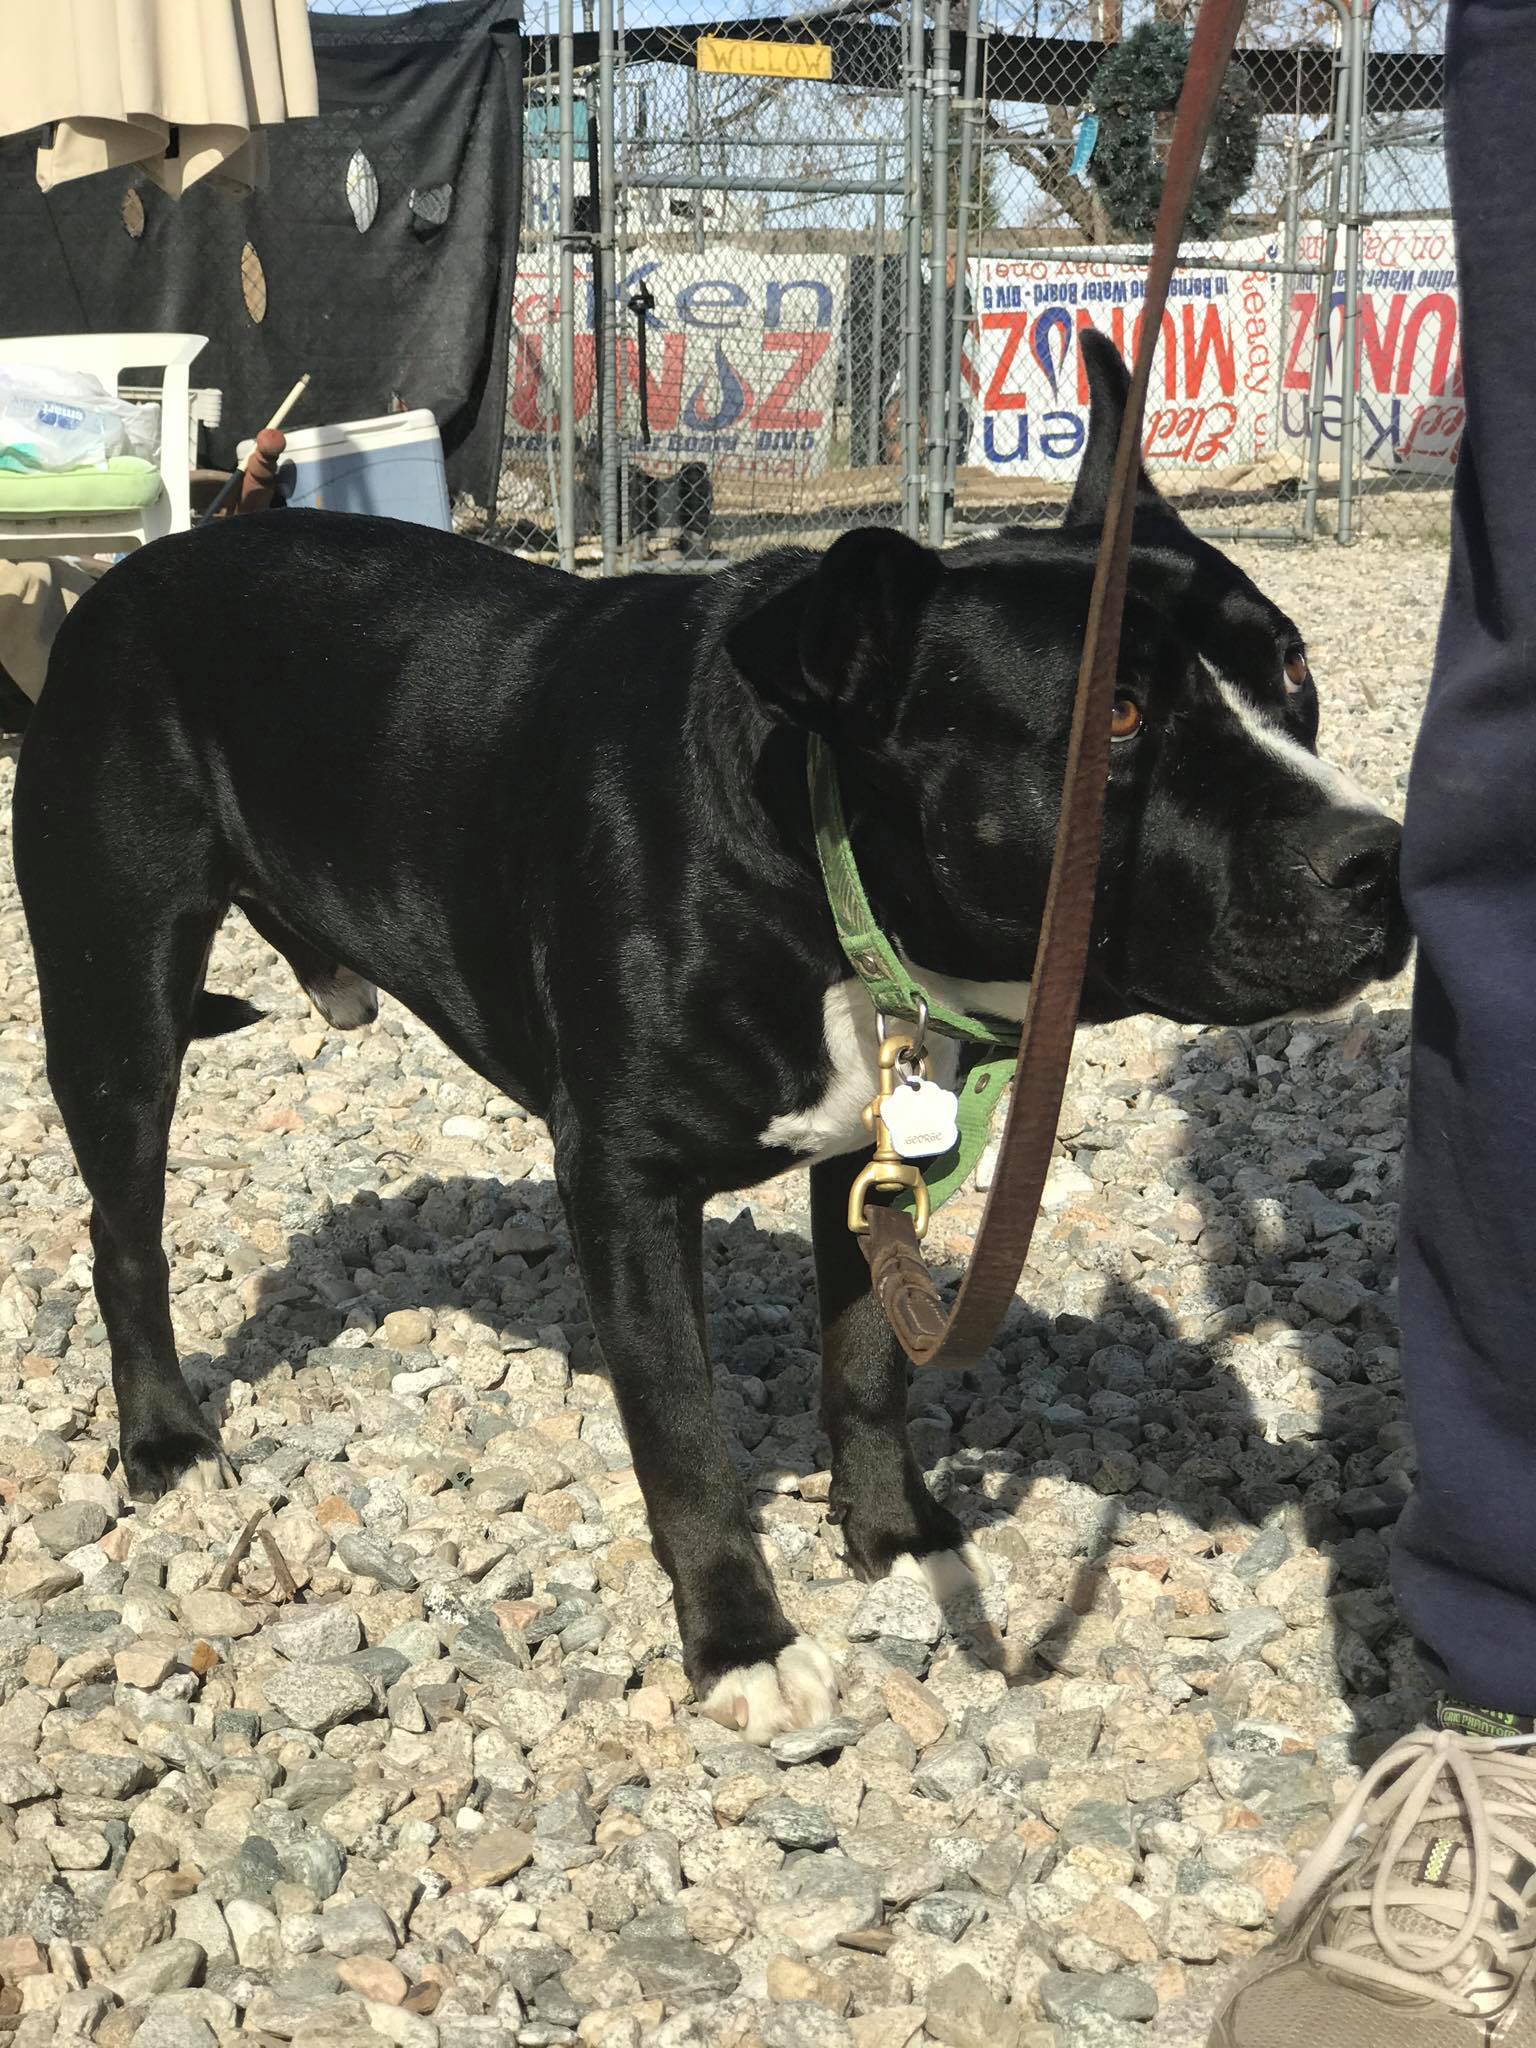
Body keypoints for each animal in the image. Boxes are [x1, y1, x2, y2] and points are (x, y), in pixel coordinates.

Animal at [12, 339, 1417, 1744]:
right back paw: (166, 1439)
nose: (1378, 857)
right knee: (124, 1234)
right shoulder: (626, 1186)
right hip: (118, 1008)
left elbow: (866, 1363)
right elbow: (683, 1428)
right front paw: (743, 1638)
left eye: (1293, 670)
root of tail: (131, 576)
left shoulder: (873, 1165)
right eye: (1115, 717)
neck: (808, 837)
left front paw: (894, 1533)